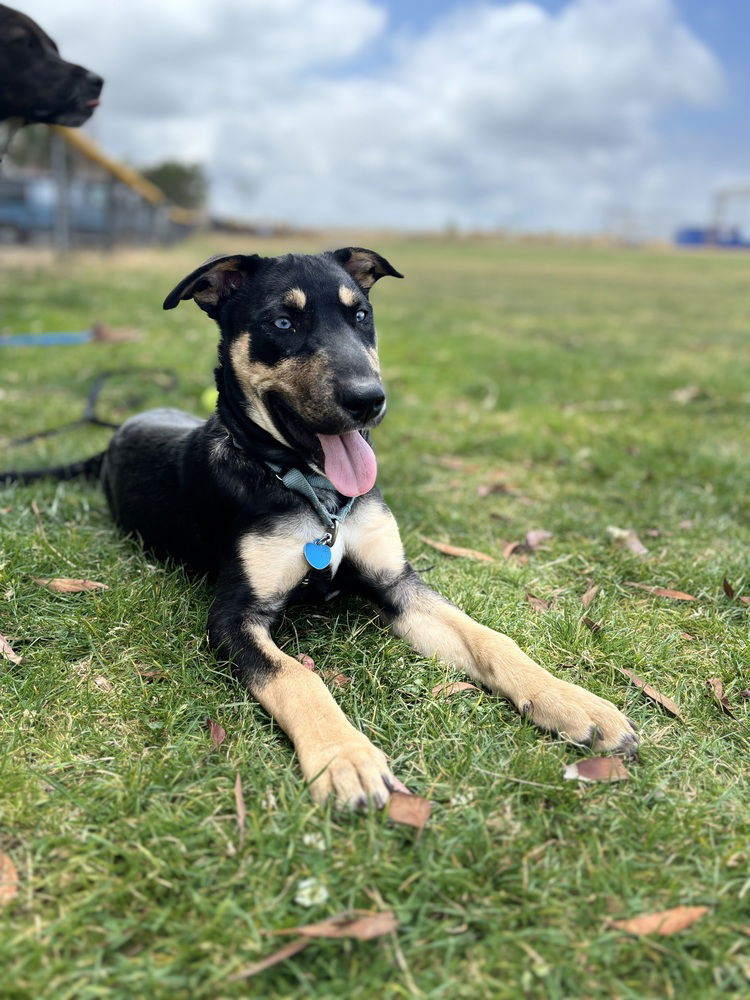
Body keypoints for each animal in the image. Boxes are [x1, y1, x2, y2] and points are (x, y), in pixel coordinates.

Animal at [5, 248, 640, 804]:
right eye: (283, 322)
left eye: (361, 315)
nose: (369, 401)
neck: (316, 493)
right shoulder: (233, 617)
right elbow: (296, 678)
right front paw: (345, 757)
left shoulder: (396, 581)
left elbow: (490, 639)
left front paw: (572, 701)